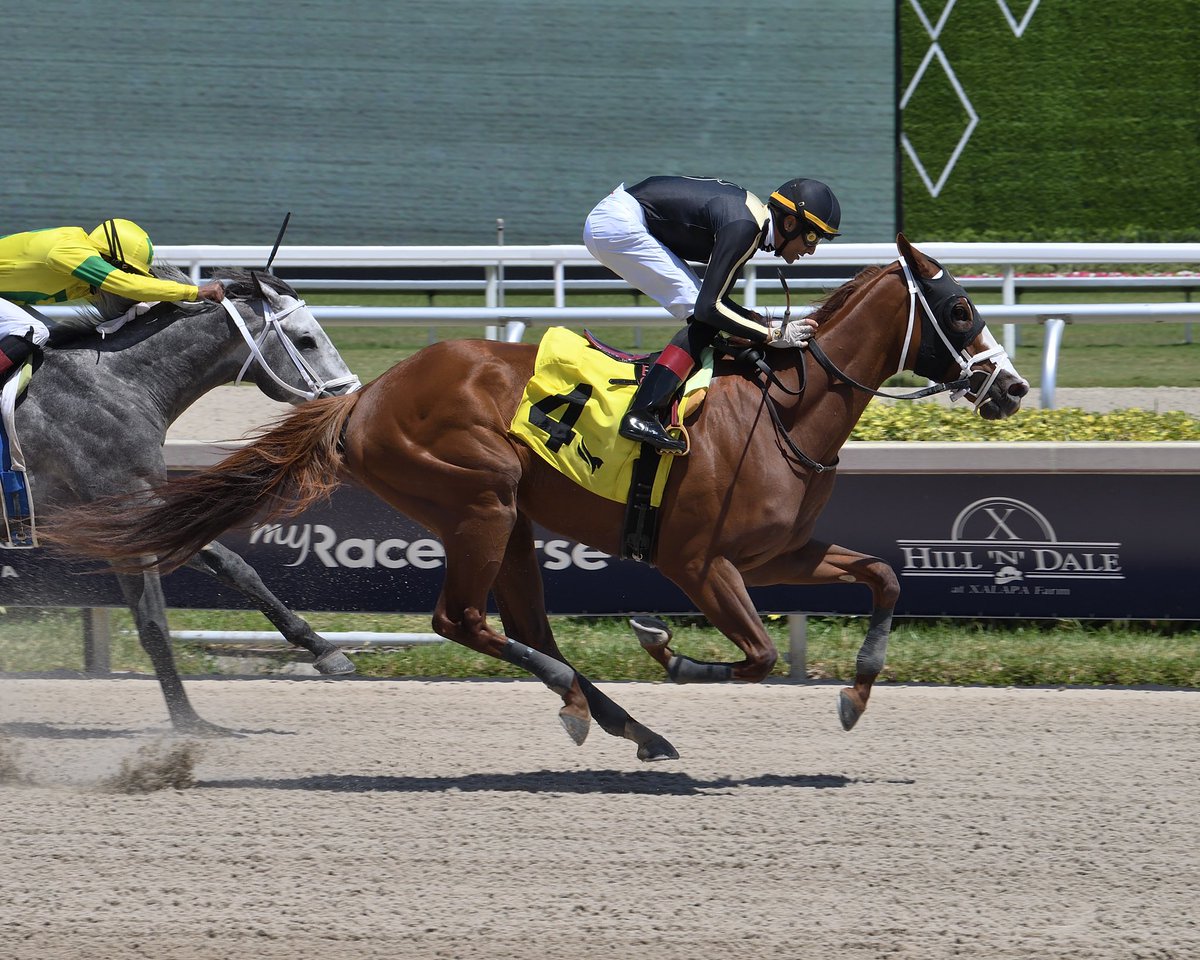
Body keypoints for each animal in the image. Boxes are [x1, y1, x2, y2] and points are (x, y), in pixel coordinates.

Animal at [10, 266, 360, 729]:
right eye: (306, 340)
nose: (350, 402)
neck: (117, 386)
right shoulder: (127, 511)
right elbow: (154, 624)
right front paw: (187, 723)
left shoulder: (142, 514)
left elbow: (237, 567)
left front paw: (325, 649)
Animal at [46, 236, 1022, 763]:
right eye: (962, 310)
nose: (1009, 387)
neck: (781, 409)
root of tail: (366, 396)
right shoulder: (698, 562)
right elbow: (755, 656)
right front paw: (668, 650)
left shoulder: (775, 552)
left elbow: (885, 576)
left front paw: (857, 690)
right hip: (482, 496)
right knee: (464, 621)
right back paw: (585, 706)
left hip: (510, 521)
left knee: (522, 626)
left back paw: (628, 724)